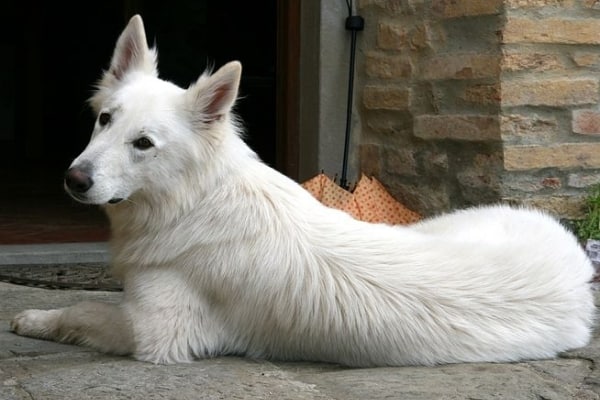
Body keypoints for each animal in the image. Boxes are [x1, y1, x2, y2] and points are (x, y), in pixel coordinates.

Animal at [10, 14, 596, 366]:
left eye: (144, 144)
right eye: (104, 119)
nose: (74, 179)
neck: (191, 201)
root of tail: (576, 260)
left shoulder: (158, 333)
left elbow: (83, 309)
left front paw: (36, 319)